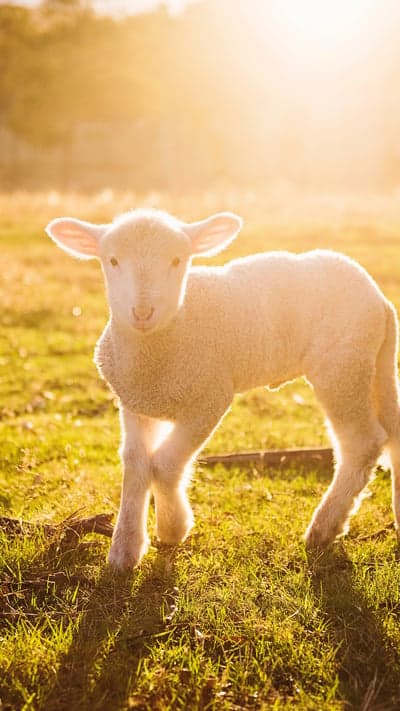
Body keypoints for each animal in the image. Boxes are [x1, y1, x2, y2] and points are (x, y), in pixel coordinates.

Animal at [45, 208, 400, 570]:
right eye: (112, 260)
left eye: (177, 260)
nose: (142, 312)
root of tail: (380, 300)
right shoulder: (135, 401)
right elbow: (135, 463)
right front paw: (124, 550)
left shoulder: (210, 398)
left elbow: (165, 464)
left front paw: (172, 528)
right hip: (374, 365)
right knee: (393, 432)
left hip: (342, 368)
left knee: (362, 443)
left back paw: (323, 528)